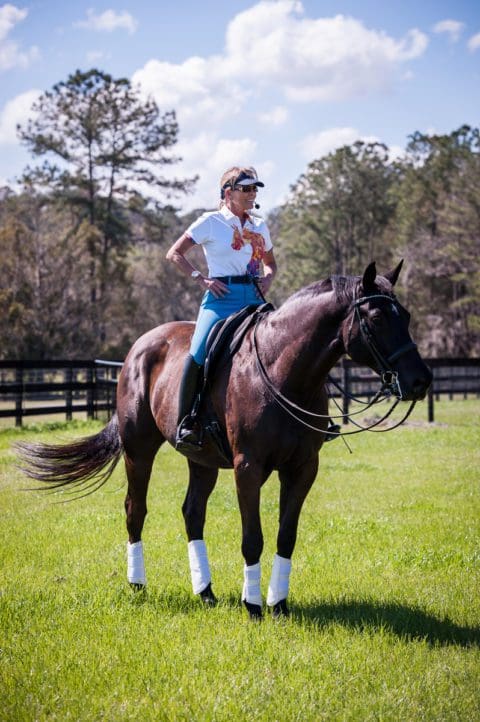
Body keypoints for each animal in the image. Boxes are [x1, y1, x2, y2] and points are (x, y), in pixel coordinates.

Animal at [17, 262, 432, 616]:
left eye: (407, 316)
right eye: (376, 317)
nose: (420, 380)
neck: (284, 373)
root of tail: (140, 345)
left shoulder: (302, 468)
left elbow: (286, 536)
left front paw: (278, 605)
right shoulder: (248, 467)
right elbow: (253, 538)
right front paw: (253, 607)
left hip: (201, 460)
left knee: (192, 513)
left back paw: (205, 592)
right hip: (139, 450)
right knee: (135, 509)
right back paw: (138, 586)